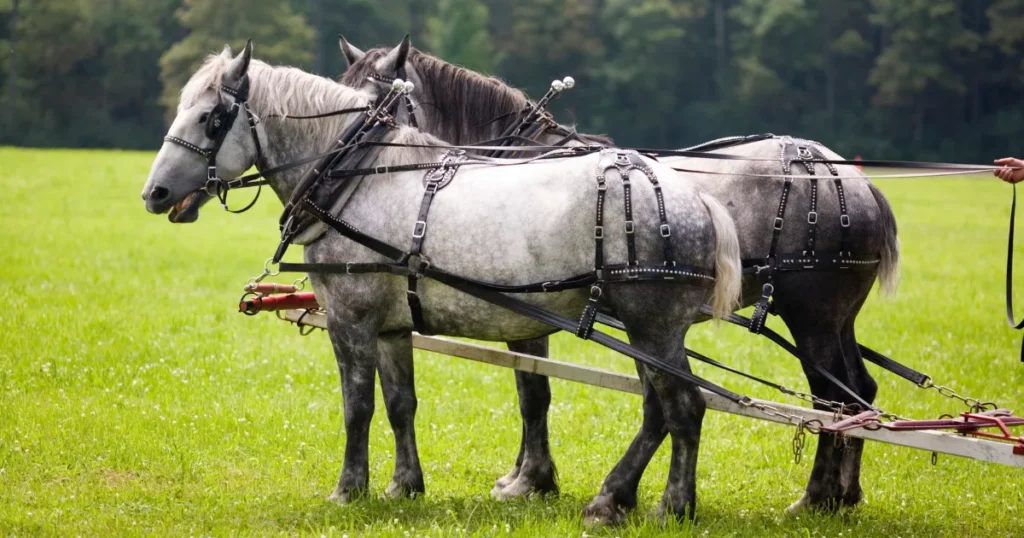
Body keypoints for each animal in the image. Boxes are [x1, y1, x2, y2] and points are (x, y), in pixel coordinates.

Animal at [140, 44, 741, 518]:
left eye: (211, 118)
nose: (154, 194)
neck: (358, 176)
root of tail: (694, 197)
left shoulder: (350, 319)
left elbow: (358, 405)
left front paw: (348, 489)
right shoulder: (391, 327)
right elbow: (400, 402)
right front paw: (404, 485)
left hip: (652, 327)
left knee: (683, 408)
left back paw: (669, 505)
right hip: (648, 331)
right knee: (664, 408)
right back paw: (620, 497)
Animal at [339, 35, 901, 518]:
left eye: (378, 103)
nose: (344, 159)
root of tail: (852, 178)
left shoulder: (523, 313)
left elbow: (534, 391)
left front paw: (530, 479)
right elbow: (533, 390)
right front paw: (528, 477)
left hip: (809, 318)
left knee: (830, 397)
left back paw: (815, 495)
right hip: (836, 320)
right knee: (859, 390)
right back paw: (846, 492)